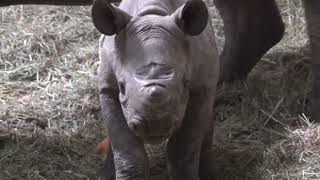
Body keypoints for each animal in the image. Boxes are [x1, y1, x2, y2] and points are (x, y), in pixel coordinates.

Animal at [91, 0, 219, 179]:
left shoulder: (202, 87)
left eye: (185, 83)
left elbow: (183, 151)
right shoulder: (107, 89)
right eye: (122, 87)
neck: (152, 14)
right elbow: (128, 152)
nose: (156, 125)